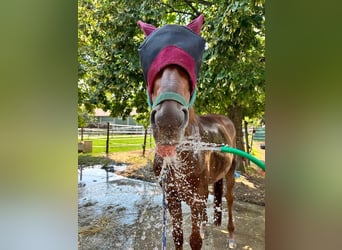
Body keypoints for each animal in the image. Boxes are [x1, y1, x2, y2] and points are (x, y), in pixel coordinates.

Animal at [138, 15, 236, 248]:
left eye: (190, 69)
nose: (168, 120)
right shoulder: (172, 198)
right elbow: (178, 237)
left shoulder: (197, 198)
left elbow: (195, 241)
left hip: (230, 174)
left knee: (228, 200)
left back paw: (230, 236)